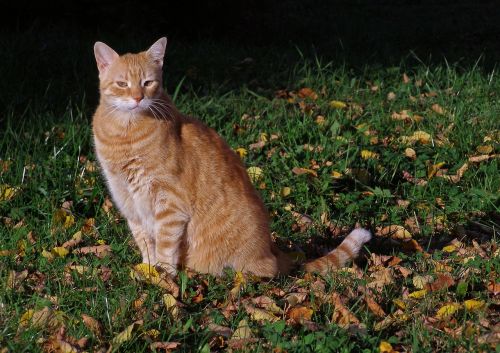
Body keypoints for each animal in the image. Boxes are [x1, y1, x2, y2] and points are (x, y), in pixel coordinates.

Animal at [92, 37, 370, 276]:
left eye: (148, 83)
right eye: (122, 84)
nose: (138, 98)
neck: (125, 134)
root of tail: (275, 252)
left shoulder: (169, 205)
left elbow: (165, 245)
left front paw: (163, 277)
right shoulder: (129, 203)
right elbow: (145, 243)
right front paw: (148, 271)